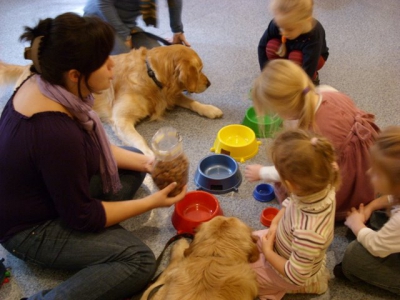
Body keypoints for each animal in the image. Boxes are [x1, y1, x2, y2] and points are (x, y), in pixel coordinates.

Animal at [0, 45, 222, 157]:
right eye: (199, 69)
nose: (209, 83)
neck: (150, 74)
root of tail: (29, 66)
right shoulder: (121, 120)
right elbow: (141, 142)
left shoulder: (169, 95)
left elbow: (192, 102)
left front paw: (210, 109)